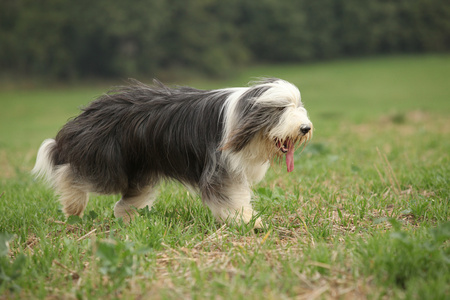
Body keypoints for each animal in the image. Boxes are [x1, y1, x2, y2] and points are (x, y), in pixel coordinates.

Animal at [31, 78, 312, 226]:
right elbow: (230, 197)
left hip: (140, 166)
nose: (305, 128)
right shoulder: (219, 168)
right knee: (71, 174)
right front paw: (250, 223)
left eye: (298, 105)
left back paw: (129, 220)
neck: (243, 115)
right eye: (281, 108)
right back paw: (73, 206)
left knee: (128, 199)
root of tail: (88, 112)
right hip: (107, 162)